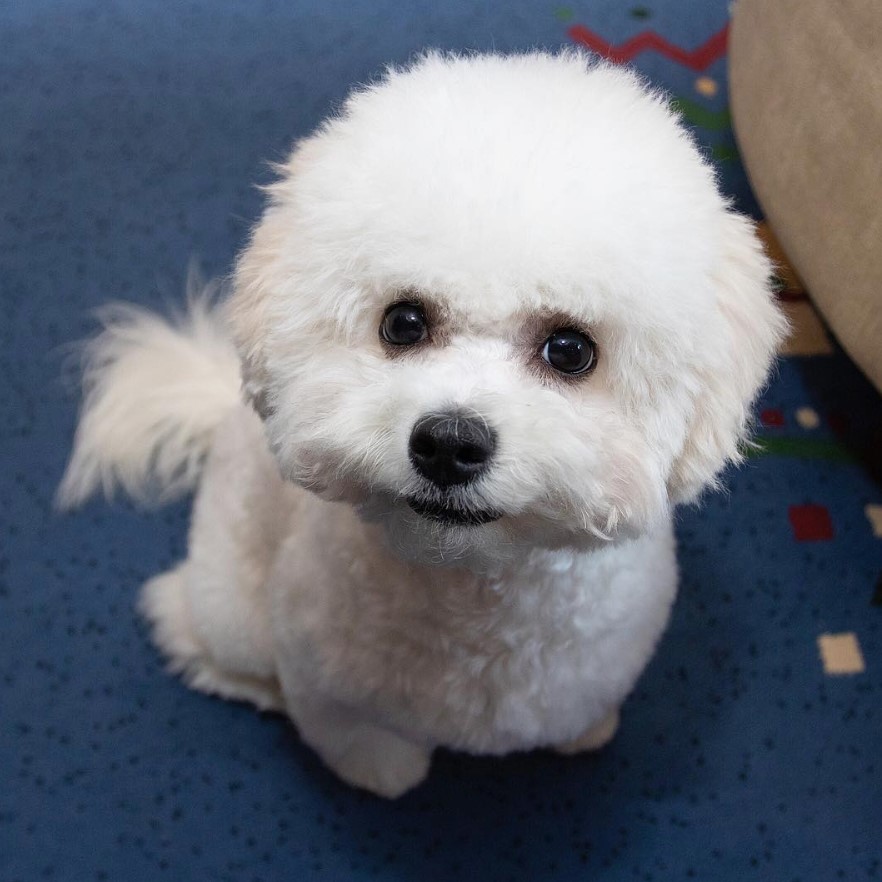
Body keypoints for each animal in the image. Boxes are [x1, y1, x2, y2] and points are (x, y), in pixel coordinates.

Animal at [58, 53, 780, 796]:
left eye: (570, 350)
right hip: (230, 598)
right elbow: (367, 747)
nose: (449, 444)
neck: (476, 593)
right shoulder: (328, 688)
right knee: (188, 623)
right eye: (403, 323)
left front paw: (584, 733)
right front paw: (385, 775)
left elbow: (581, 708)